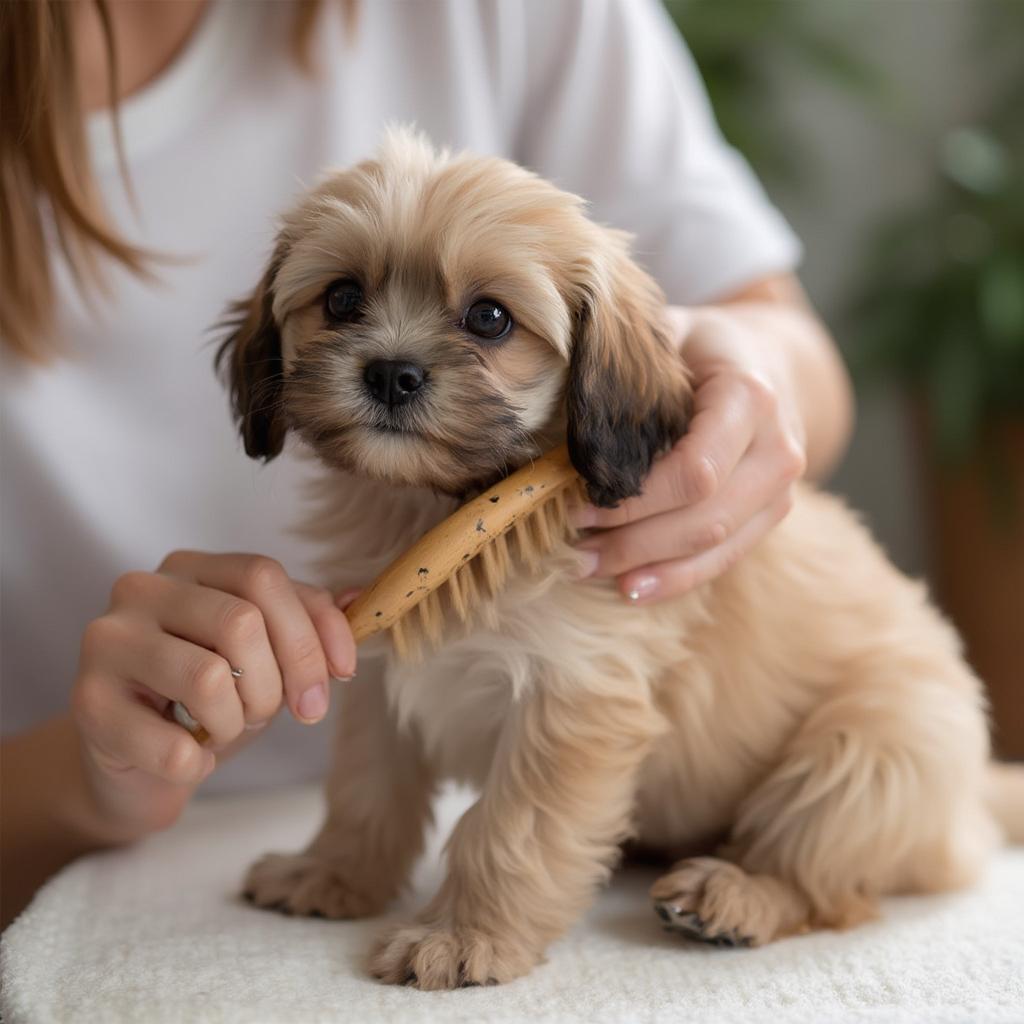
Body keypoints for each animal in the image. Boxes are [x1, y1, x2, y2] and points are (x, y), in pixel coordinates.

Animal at [220, 130, 1019, 991]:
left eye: (489, 318)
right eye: (341, 298)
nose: (391, 374)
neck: (442, 516)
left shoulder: (571, 700)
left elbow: (511, 829)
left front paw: (466, 936)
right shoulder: (379, 681)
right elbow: (366, 790)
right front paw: (333, 873)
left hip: (871, 755)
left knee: (819, 875)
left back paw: (732, 895)